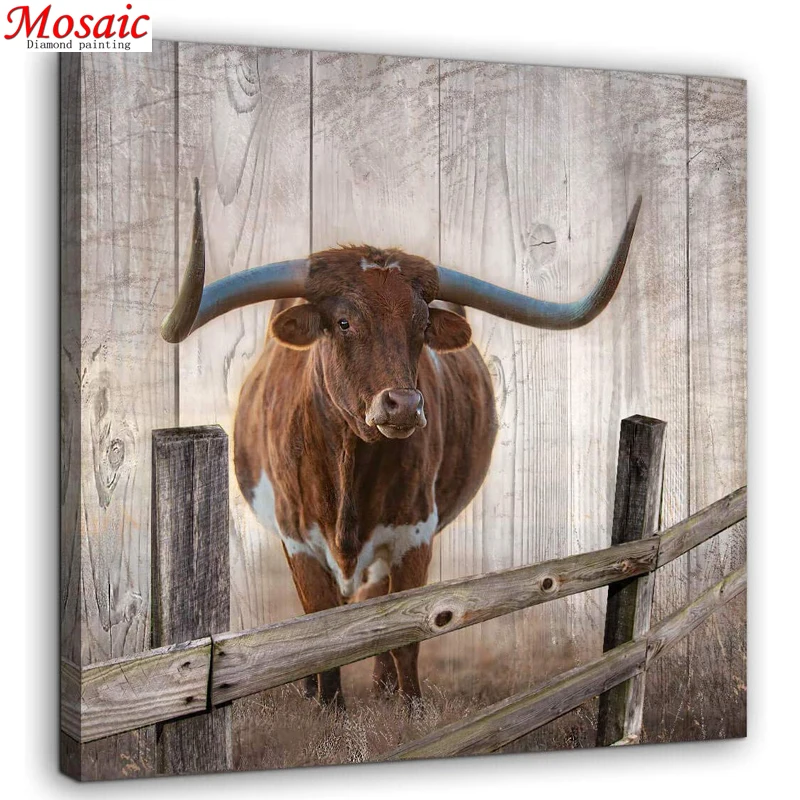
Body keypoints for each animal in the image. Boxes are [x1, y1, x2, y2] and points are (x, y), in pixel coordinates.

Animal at [162, 179, 642, 708]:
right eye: (344, 322)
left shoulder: (414, 536)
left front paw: (406, 707)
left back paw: (384, 691)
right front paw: (327, 708)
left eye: (421, 326)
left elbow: (406, 635)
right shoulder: (297, 541)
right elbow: (316, 638)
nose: (404, 405)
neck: (346, 471)